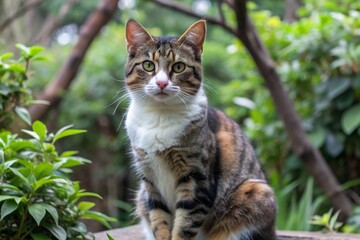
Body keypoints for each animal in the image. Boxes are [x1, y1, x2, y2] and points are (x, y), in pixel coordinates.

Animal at [123, 19, 276, 240]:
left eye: (178, 67)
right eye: (148, 65)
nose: (161, 83)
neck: (159, 116)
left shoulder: (196, 180)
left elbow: (185, 224)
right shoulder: (149, 180)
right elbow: (159, 219)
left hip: (254, 195)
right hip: (141, 196)